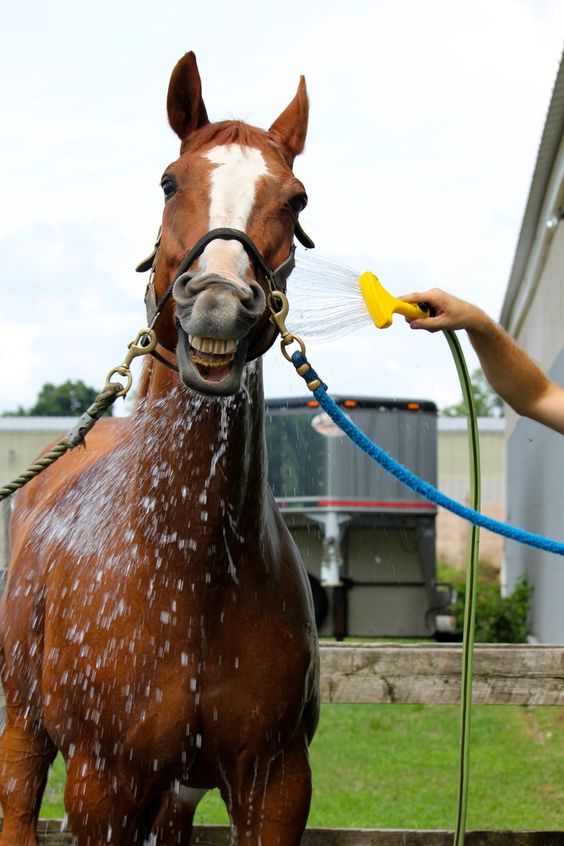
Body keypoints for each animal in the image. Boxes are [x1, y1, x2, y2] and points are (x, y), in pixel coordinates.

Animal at [0, 51, 320, 846]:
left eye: (296, 199)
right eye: (170, 181)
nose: (218, 301)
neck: (189, 575)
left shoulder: (275, 782)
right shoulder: (102, 783)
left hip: (176, 791)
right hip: (23, 726)